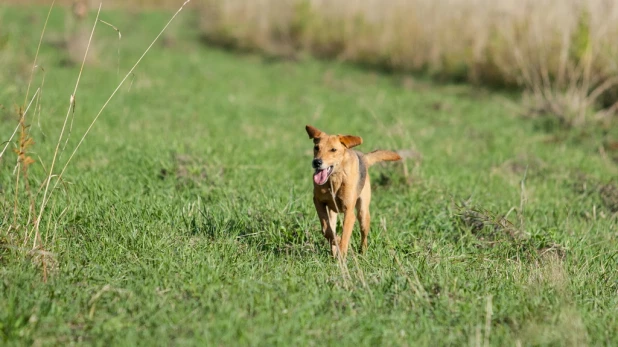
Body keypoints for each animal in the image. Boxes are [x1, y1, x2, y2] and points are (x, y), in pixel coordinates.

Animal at [306, 125, 402, 258]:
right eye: (316, 148)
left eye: (333, 150)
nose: (317, 162)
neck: (335, 179)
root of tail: (364, 157)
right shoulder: (318, 202)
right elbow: (327, 230)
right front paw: (336, 242)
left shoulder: (349, 212)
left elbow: (345, 235)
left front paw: (341, 253)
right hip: (332, 211)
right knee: (332, 227)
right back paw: (333, 252)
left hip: (363, 213)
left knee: (364, 235)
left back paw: (362, 253)